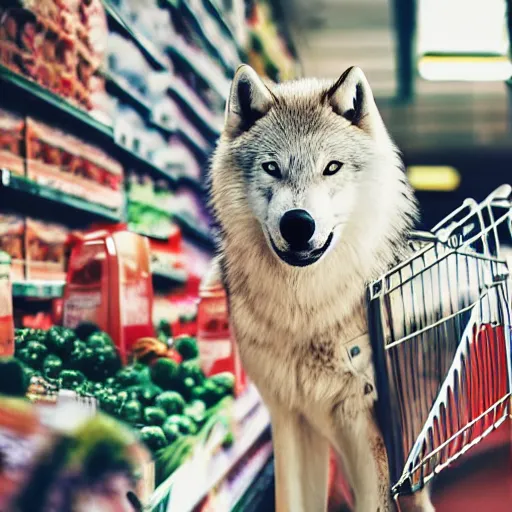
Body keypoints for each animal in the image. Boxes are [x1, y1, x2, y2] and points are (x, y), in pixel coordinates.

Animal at [208, 65, 436, 512]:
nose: (298, 223)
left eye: (331, 167)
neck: (305, 313)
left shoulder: (362, 425)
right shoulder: (288, 417)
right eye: (272, 167)